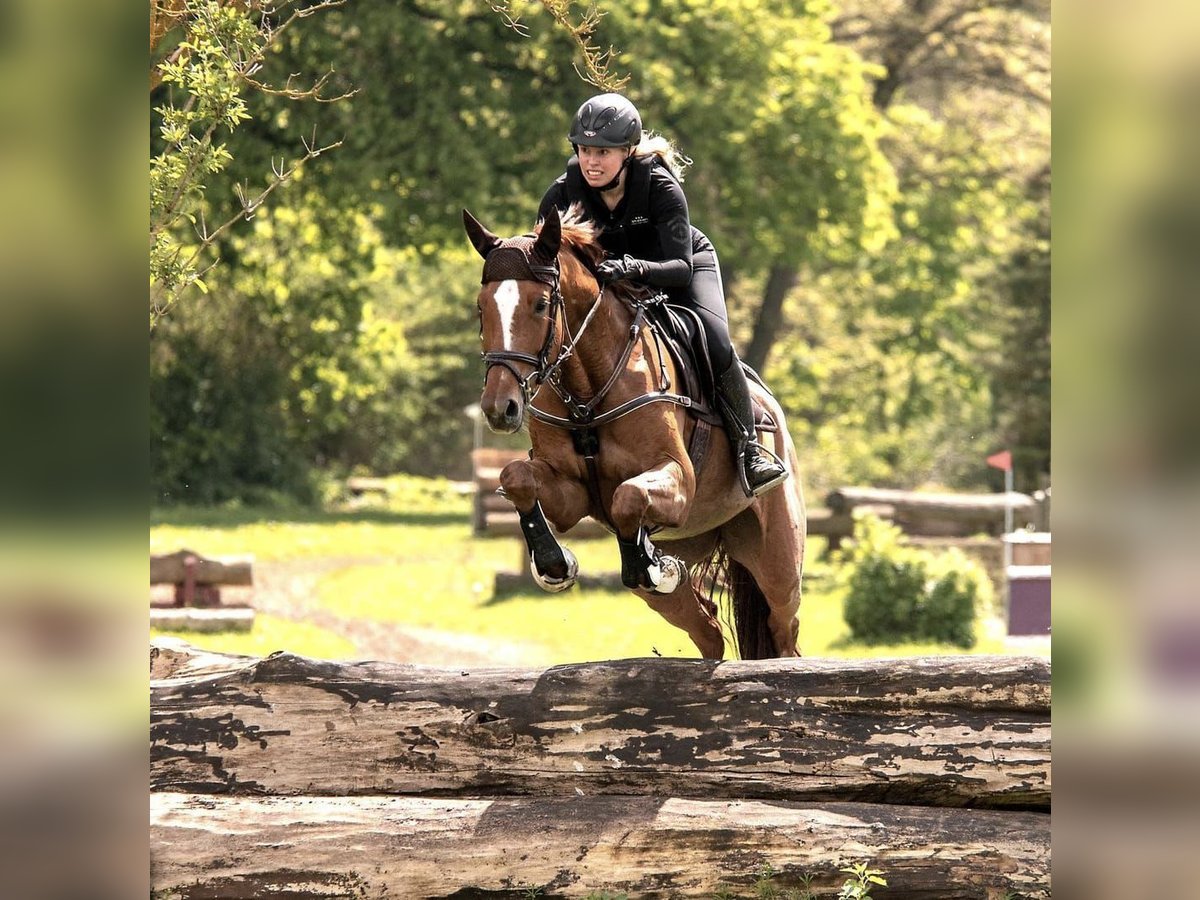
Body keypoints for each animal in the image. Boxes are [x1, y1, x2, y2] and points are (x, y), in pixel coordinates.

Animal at [458, 204, 806, 657]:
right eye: (482, 307)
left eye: (540, 304)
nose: (501, 409)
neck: (587, 391)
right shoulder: (572, 494)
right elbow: (516, 476)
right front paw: (555, 564)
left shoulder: (678, 480)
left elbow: (629, 496)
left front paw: (649, 565)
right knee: (708, 628)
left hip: (778, 566)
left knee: (782, 630)